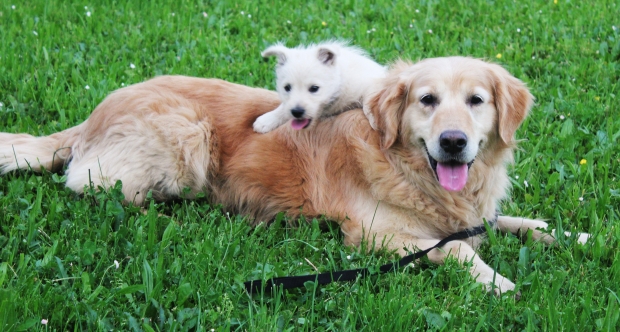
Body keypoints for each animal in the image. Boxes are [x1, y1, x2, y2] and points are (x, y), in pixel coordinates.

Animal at [252, 41, 382, 134]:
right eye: (287, 88)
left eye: (314, 88)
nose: (297, 112)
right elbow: (284, 107)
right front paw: (267, 120)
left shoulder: (371, 82)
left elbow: (368, 102)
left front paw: (374, 120)